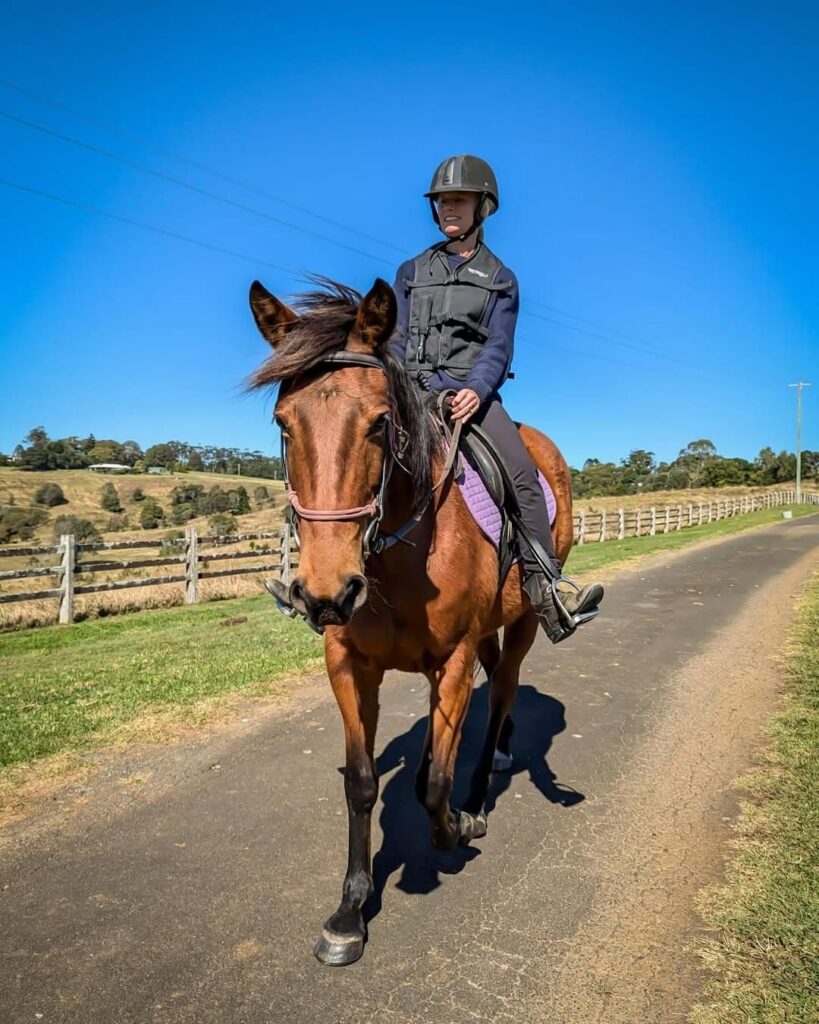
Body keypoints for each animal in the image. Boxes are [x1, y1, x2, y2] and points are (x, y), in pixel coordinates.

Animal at [246, 276, 573, 962]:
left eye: (379, 423)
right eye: (284, 425)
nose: (326, 593)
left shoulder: (455, 656)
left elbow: (436, 790)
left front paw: (457, 826)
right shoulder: (348, 664)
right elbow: (361, 782)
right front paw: (350, 909)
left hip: (523, 623)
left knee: (501, 694)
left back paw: (479, 793)